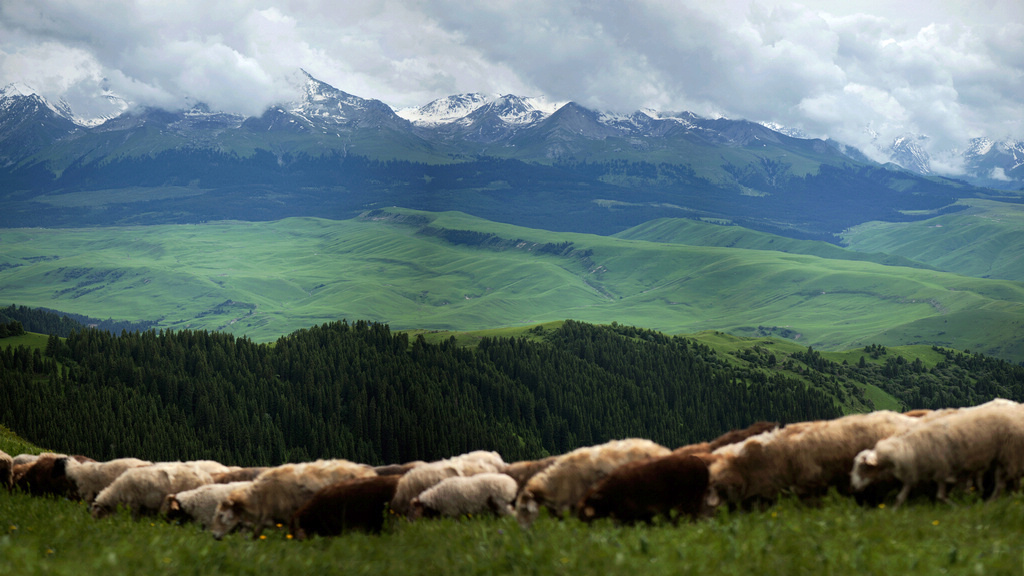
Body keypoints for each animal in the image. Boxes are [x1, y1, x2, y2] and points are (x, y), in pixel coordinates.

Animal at [209, 457, 378, 537]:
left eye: (221, 515)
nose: (214, 536)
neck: (259, 497)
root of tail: (369, 472)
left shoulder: (288, 515)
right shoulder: (268, 517)